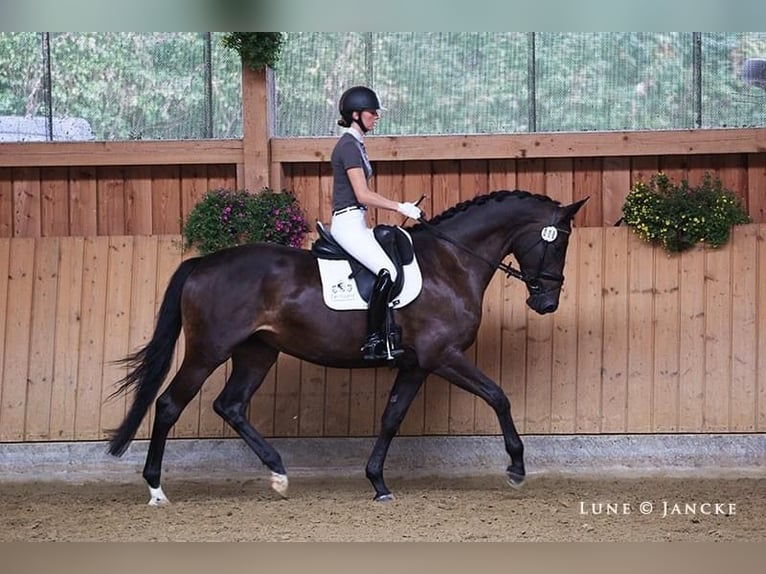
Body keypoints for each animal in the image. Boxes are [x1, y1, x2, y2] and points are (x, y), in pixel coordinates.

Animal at [106, 188, 588, 504]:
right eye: (559, 241)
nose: (546, 302)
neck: (450, 263)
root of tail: (203, 262)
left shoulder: (416, 365)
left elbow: (392, 416)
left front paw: (377, 482)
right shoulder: (444, 356)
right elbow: (498, 396)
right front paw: (516, 468)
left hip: (257, 352)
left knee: (231, 405)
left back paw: (278, 473)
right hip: (209, 351)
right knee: (169, 404)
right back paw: (156, 488)